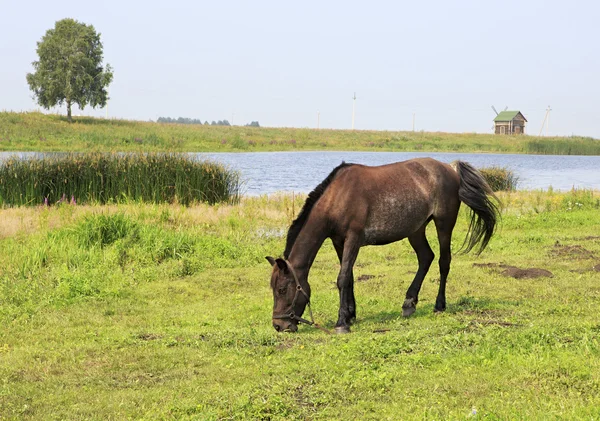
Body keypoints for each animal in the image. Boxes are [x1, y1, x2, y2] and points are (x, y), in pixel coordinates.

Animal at [264, 156, 500, 334]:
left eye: (282, 289)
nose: (279, 325)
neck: (338, 197)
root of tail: (450, 168)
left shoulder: (353, 239)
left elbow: (342, 278)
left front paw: (341, 323)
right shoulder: (339, 242)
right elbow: (349, 278)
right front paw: (350, 315)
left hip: (444, 224)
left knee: (443, 261)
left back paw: (439, 305)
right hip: (416, 230)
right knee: (426, 258)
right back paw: (408, 303)